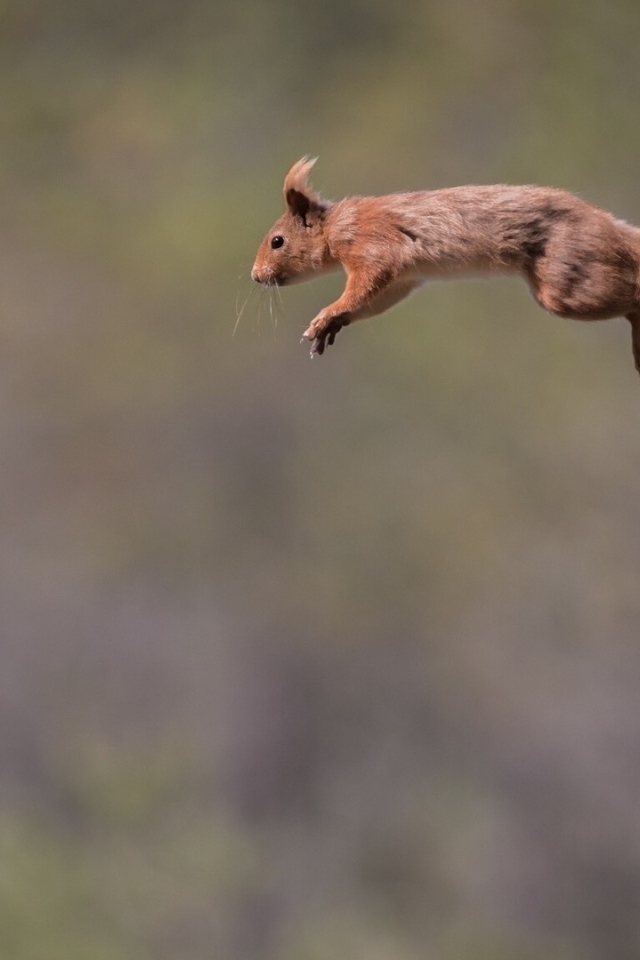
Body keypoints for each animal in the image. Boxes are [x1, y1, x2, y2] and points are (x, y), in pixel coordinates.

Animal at [251, 158, 640, 372]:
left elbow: (367, 279)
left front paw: (328, 313)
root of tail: (610, 226)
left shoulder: (371, 243)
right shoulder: (404, 278)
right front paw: (334, 323)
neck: (334, 226)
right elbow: (377, 298)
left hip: (568, 277)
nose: (255, 276)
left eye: (277, 241)